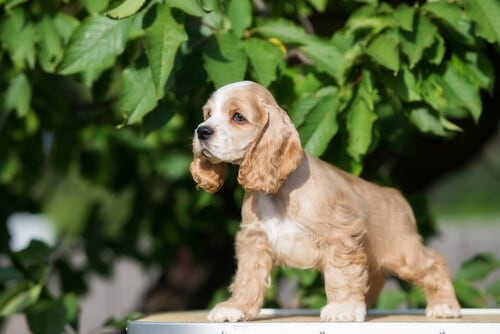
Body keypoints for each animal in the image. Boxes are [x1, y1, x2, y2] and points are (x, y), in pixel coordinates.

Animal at [188, 80, 460, 320]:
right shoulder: (255, 240)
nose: (202, 131)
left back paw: (445, 305)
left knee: (434, 263)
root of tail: (395, 195)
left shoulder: (340, 235)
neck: (278, 192)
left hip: (402, 251)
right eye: (208, 113)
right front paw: (236, 307)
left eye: (238, 117)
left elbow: (342, 275)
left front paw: (343, 308)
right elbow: (248, 277)